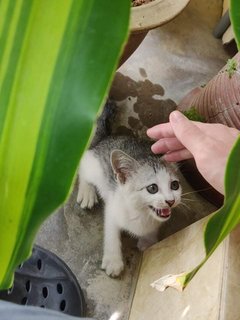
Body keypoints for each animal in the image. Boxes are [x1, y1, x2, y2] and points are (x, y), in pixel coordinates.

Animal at [77, 104, 182, 276]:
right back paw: (87, 191)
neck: (141, 213)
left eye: (174, 185)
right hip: (95, 168)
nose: (170, 201)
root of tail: (106, 138)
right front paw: (113, 260)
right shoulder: (113, 206)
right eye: (152, 188)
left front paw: (148, 240)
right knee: (82, 164)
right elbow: (111, 233)